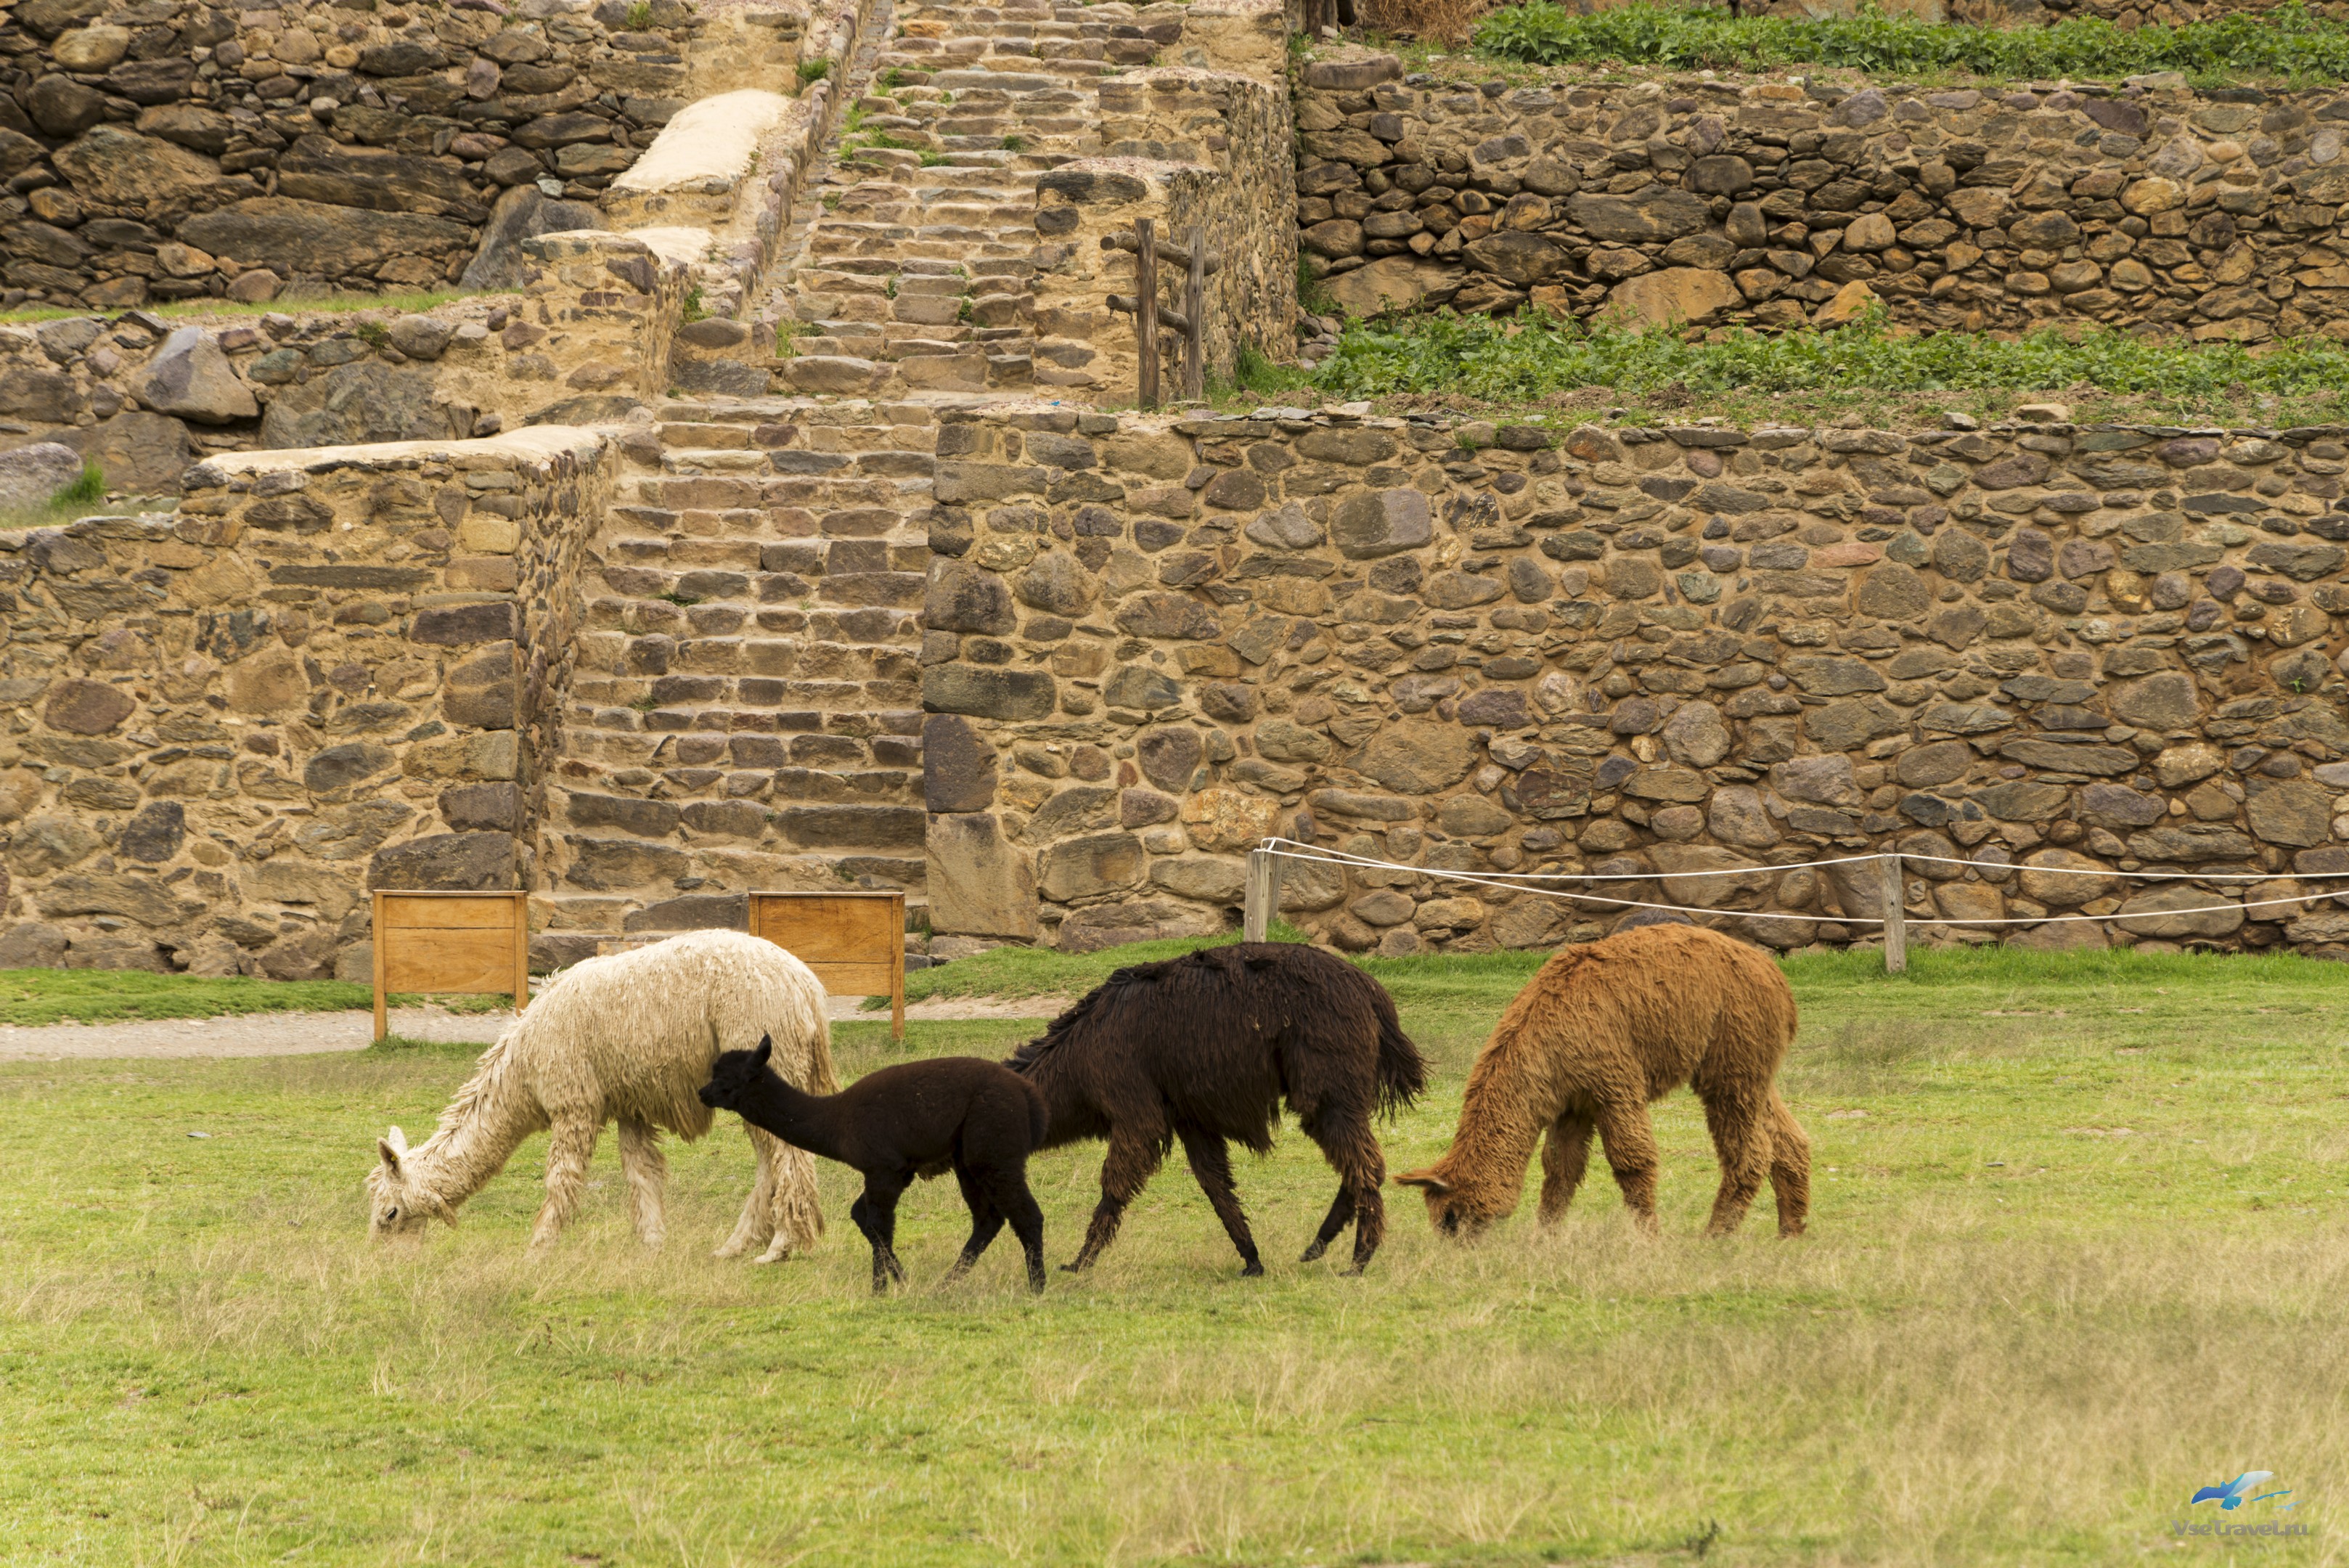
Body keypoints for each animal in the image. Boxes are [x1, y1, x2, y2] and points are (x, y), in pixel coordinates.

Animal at [366, 929, 837, 1259]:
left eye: (390, 1214)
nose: (387, 1262)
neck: (522, 1067)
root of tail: (809, 989)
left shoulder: (573, 1100)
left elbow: (562, 1178)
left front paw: (537, 1250)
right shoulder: (630, 1103)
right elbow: (642, 1174)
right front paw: (651, 1244)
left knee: (785, 1153)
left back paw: (779, 1247)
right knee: (772, 1155)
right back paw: (737, 1245)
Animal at [700, 1039, 1051, 1294]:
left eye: (725, 1080)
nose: (702, 1093)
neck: (836, 1119)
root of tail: (1030, 1097)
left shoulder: (883, 1168)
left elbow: (879, 1225)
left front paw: (879, 1289)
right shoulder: (899, 1171)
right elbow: (863, 1218)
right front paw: (901, 1278)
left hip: (994, 1149)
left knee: (1027, 1215)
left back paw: (1037, 1287)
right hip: (968, 1160)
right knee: (988, 1221)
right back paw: (948, 1284)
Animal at [1007, 942, 1427, 1277]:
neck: (1080, 1053)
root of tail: (1371, 992)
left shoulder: (1134, 1105)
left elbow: (1116, 1183)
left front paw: (1079, 1263)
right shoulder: (1189, 1115)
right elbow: (1216, 1184)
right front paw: (1252, 1260)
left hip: (1329, 1083)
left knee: (1365, 1163)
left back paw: (1357, 1262)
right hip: (1333, 1091)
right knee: (1360, 1162)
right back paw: (1319, 1246)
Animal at [1395, 923, 1810, 1241]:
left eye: (1451, 1217)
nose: (1456, 1248)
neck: (1545, 1037)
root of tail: (1778, 979)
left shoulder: (1613, 1083)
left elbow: (1633, 1162)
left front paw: (1649, 1238)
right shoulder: (1572, 1103)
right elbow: (1560, 1167)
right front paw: (1544, 1237)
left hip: (1733, 1058)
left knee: (1751, 1150)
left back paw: (1716, 1234)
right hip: (1753, 1064)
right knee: (1788, 1139)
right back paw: (1790, 1231)